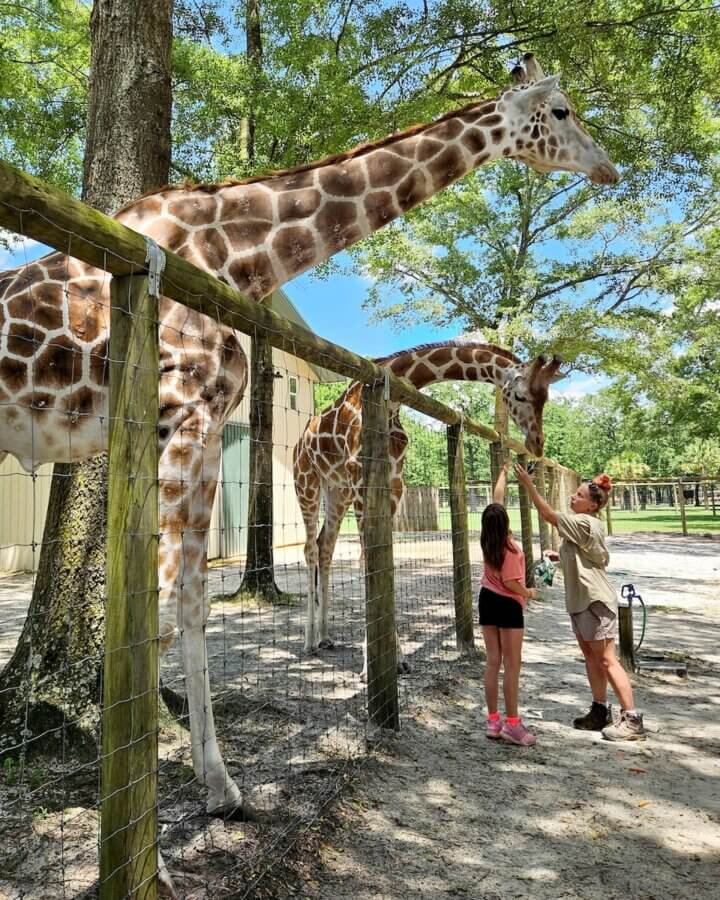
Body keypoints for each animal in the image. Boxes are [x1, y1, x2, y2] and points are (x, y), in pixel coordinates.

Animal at [293, 341, 563, 666]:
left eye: (545, 397)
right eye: (520, 395)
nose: (537, 443)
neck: (392, 404)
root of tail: (299, 443)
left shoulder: (395, 480)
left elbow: (385, 559)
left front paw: (396, 658)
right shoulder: (360, 474)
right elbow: (367, 559)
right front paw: (369, 666)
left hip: (336, 489)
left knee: (325, 546)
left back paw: (324, 636)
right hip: (307, 482)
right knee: (309, 548)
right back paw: (308, 641)